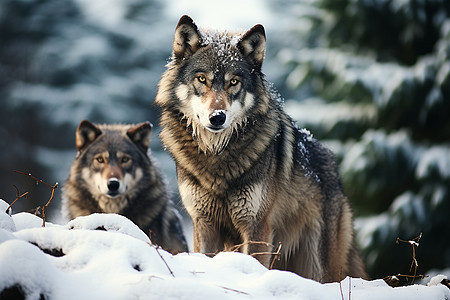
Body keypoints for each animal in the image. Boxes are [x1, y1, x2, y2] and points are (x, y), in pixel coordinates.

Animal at [153, 14, 368, 282]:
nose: (217, 117)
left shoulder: (256, 225)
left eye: (233, 82)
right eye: (202, 79)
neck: (216, 155)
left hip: (320, 264)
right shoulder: (204, 224)